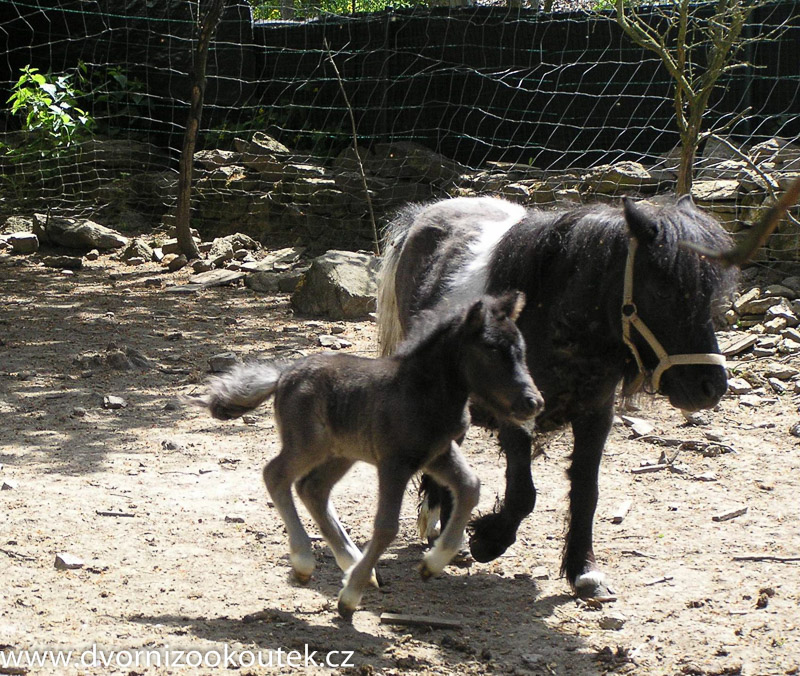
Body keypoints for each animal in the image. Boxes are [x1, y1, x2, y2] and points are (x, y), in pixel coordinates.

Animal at [191, 291, 542, 619]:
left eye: (521, 349)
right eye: (492, 349)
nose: (533, 402)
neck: (423, 392)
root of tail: (284, 375)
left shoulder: (436, 454)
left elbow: (470, 487)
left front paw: (432, 564)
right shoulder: (394, 463)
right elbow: (386, 526)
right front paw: (349, 598)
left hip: (341, 453)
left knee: (312, 489)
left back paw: (352, 562)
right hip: (308, 445)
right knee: (275, 475)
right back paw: (306, 562)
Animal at [377, 194, 738, 600]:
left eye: (708, 295)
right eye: (664, 290)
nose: (711, 387)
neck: (553, 313)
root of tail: (422, 215)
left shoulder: (596, 416)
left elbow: (586, 491)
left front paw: (584, 570)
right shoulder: (515, 415)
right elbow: (523, 494)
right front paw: (489, 540)